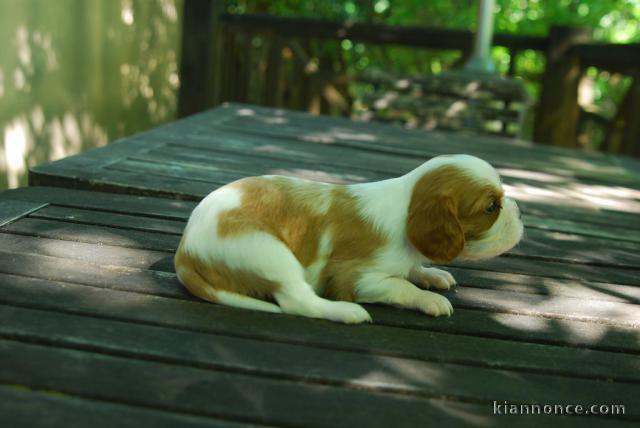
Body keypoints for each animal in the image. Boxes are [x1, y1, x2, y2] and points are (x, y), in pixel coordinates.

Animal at [176, 152, 524, 322]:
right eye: (491, 207)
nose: (520, 213)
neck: (406, 200)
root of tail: (184, 249)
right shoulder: (355, 277)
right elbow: (401, 285)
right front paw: (429, 299)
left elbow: (411, 270)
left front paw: (432, 274)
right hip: (268, 251)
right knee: (297, 301)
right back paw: (346, 313)